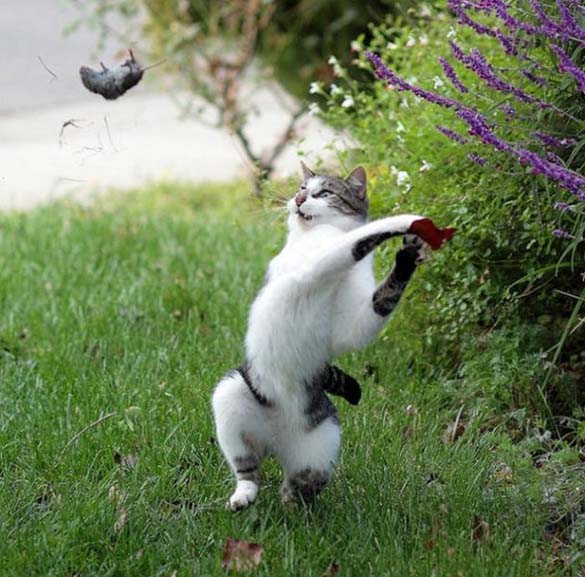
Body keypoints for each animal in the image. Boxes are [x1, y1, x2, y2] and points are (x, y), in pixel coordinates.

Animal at [212, 162, 450, 508]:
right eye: (301, 187)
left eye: (324, 193)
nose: (299, 198)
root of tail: (276, 443)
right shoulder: (314, 267)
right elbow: (355, 243)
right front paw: (405, 221)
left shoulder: (353, 321)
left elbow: (380, 301)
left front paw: (408, 257)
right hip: (231, 395)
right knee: (247, 467)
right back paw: (243, 496)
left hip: (323, 442)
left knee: (302, 482)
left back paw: (293, 500)